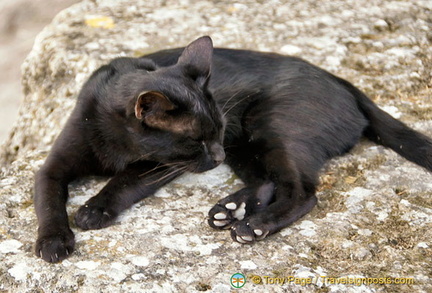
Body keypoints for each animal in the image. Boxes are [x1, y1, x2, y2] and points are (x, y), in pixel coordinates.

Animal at [34, 36, 432, 262]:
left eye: (219, 130)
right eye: (197, 139)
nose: (217, 155)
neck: (115, 137)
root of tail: (341, 80)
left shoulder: (160, 166)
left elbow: (124, 181)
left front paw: (93, 210)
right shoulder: (52, 166)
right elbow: (48, 201)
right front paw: (53, 241)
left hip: (269, 130)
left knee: (302, 192)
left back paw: (253, 225)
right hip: (248, 146)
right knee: (268, 181)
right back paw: (230, 209)